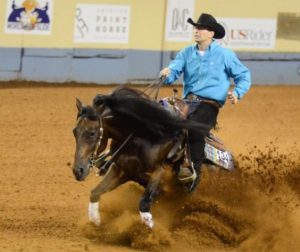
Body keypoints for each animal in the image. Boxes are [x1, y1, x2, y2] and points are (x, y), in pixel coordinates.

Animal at [72, 85, 210, 228]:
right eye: (74, 132)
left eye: (92, 133)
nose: (78, 170)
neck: (139, 136)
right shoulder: (121, 169)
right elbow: (95, 192)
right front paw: (95, 219)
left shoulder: (158, 170)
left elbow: (144, 202)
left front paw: (148, 224)